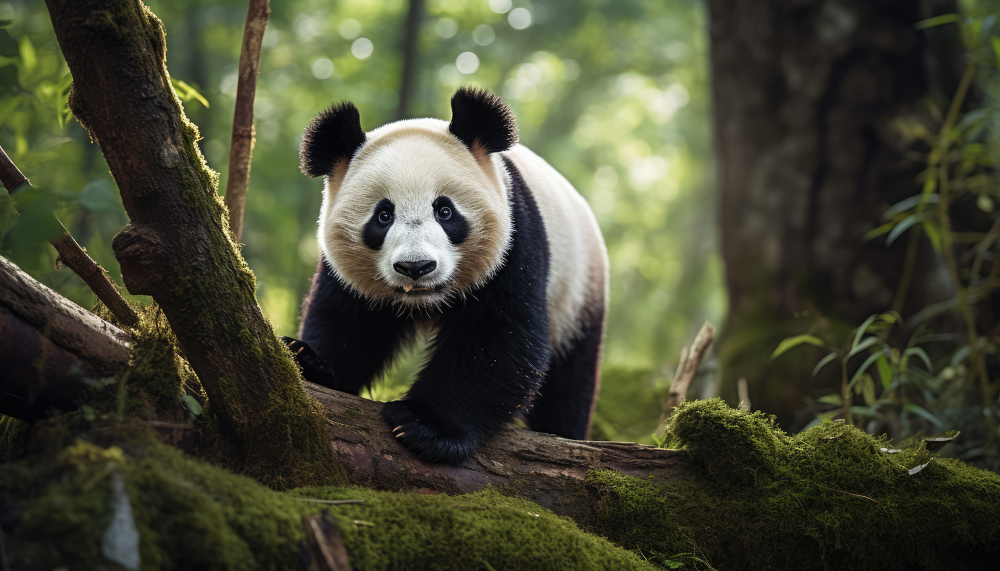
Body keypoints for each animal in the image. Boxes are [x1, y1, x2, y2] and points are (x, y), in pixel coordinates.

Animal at [284, 88, 608, 464]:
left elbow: (499, 338)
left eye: (445, 211)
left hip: (577, 292)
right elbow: (348, 322)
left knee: (570, 382)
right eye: (383, 216)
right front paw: (308, 360)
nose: (416, 267)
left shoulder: (515, 242)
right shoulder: (345, 274)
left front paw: (424, 427)